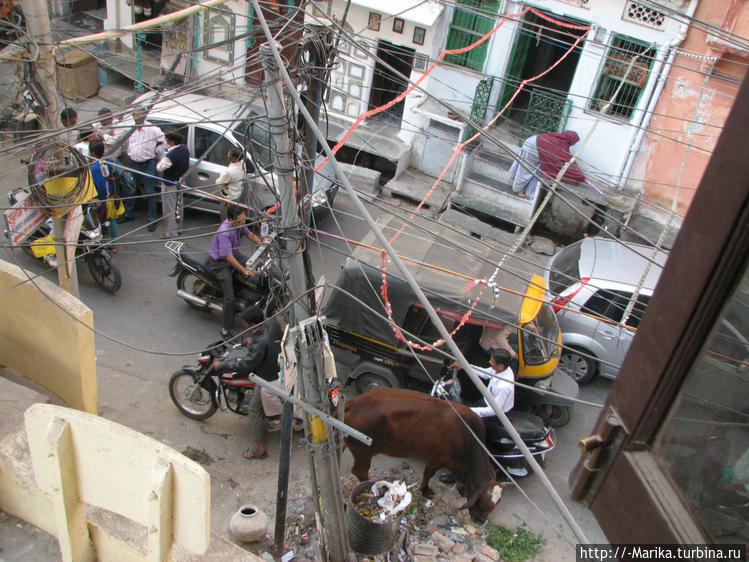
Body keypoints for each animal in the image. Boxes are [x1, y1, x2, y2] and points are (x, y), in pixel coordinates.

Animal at [344, 384, 502, 520]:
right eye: (484, 502)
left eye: (494, 506)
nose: (480, 521)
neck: (467, 438)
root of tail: (354, 402)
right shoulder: (437, 457)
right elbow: (429, 473)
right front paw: (425, 490)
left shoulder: (453, 462)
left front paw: (460, 488)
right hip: (363, 450)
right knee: (359, 471)